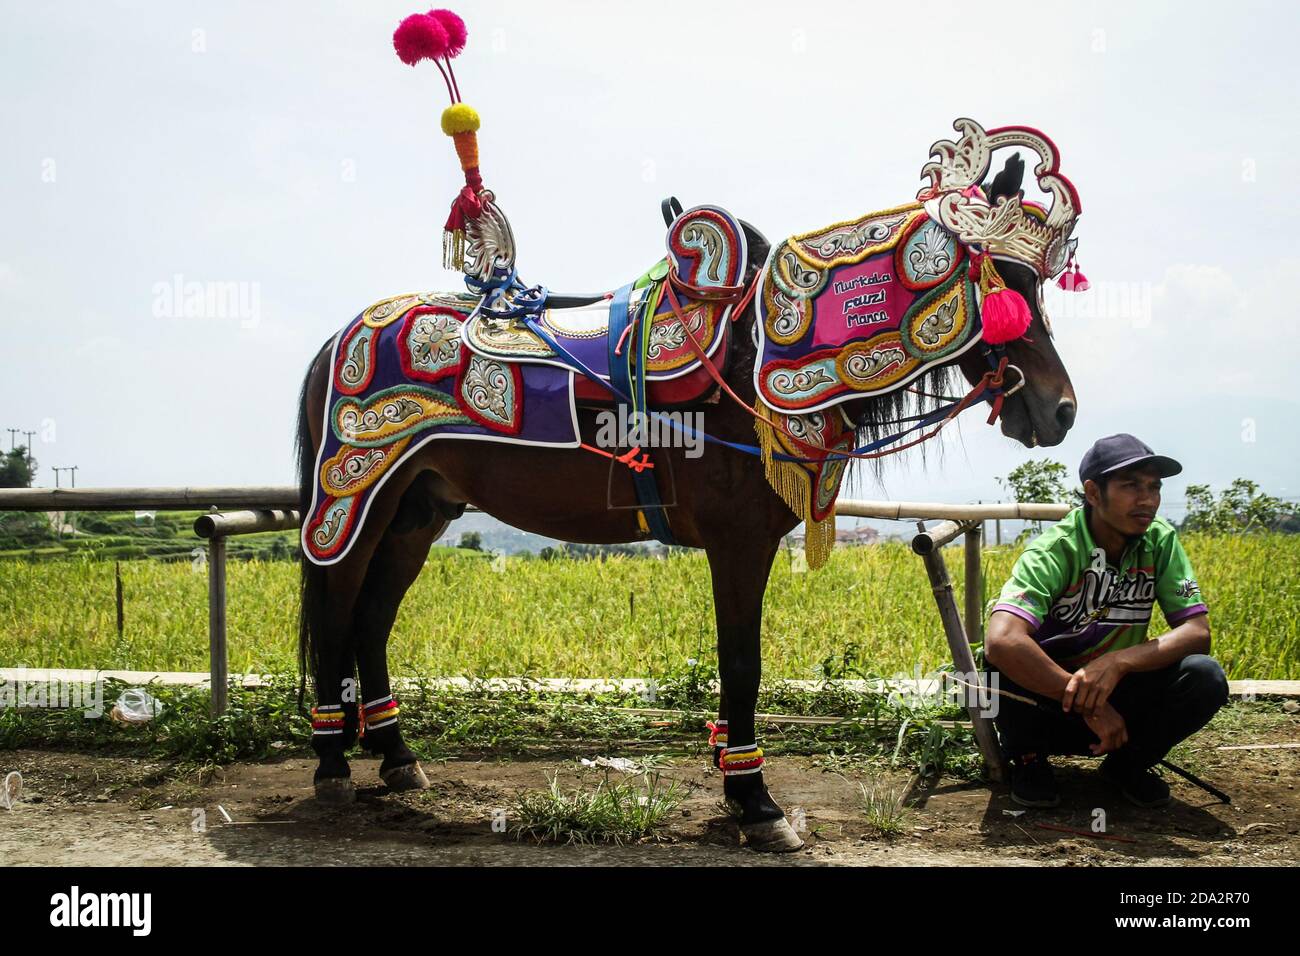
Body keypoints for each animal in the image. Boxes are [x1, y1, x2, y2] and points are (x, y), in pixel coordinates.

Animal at [295, 11, 1086, 853]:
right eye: (1010, 284)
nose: (1061, 410)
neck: (759, 354)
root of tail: (343, 336)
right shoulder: (738, 541)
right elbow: (742, 664)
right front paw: (756, 800)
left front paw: (743, 788)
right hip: (355, 502)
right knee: (340, 609)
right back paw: (333, 765)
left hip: (420, 510)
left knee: (371, 621)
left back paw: (396, 756)